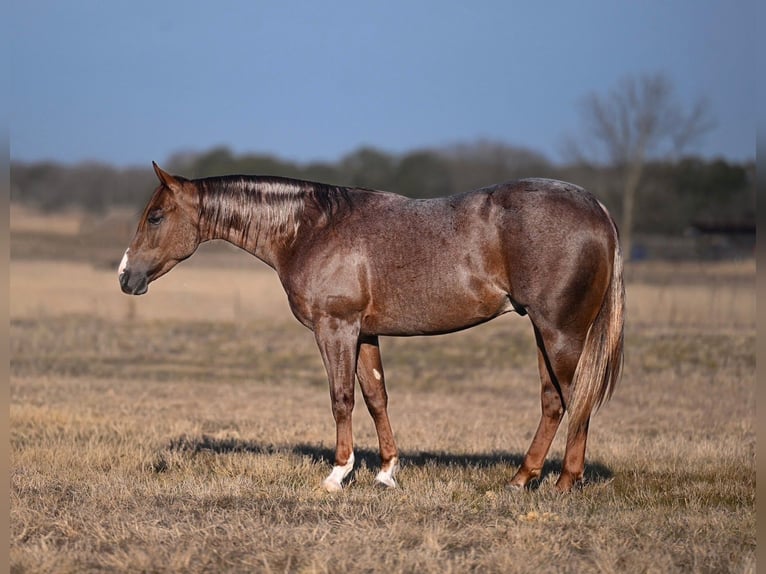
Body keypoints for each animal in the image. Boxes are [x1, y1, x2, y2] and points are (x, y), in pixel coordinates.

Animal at [119, 162, 624, 492]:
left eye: (156, 216)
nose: (126, 277)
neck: (311, 229)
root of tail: (598, 208)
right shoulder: (363, 333)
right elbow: (376, 397)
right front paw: (385, 472)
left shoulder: (335, 328)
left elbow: (342, 398)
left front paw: (338, 473)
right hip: (543, 331)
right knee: (553, 402)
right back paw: (520, 479)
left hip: (560, 332)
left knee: (576, 399)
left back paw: (564, 483)